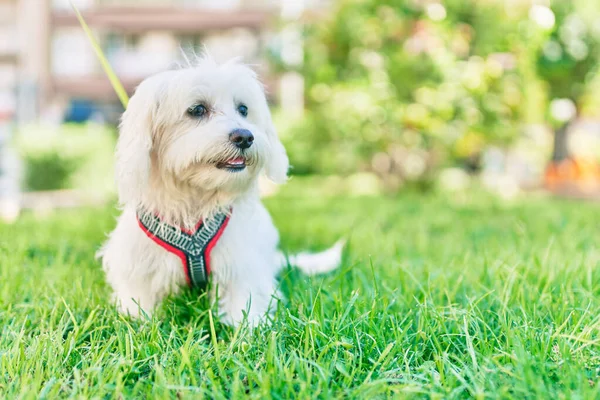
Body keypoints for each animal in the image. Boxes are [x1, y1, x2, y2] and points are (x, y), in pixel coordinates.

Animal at [98, 55, 342, 324]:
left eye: (243, 110)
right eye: (197, 110)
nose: (245, 136)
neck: (195, 198)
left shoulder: (240, 263)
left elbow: (243, 301)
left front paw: (249, 327)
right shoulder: (139, 267)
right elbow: (138, 303)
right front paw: (136, 320)